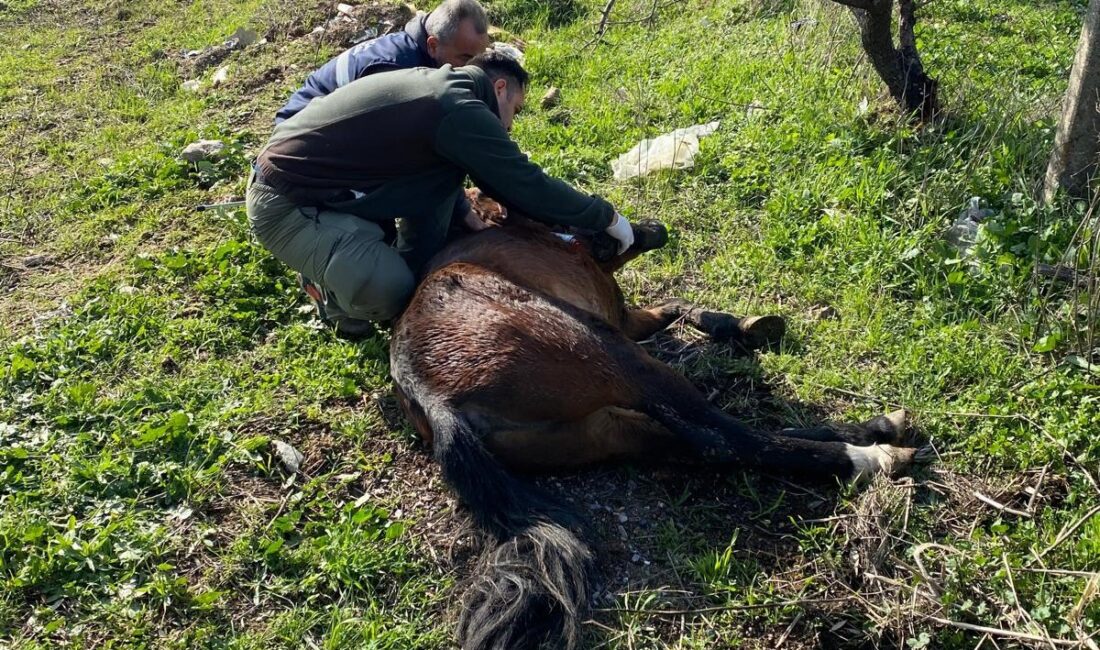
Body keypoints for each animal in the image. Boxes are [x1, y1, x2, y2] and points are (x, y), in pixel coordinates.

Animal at [387, 203, 919, 650]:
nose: (655, 228)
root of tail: (430, 395)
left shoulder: (628, 322)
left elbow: (675, 306)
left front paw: (738, 324)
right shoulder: (619, 325)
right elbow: (676, 310)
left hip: (603, 428)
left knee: (698, 442)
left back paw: (873, 433)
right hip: (611, 356)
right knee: (724, 439)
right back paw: (868, 453)